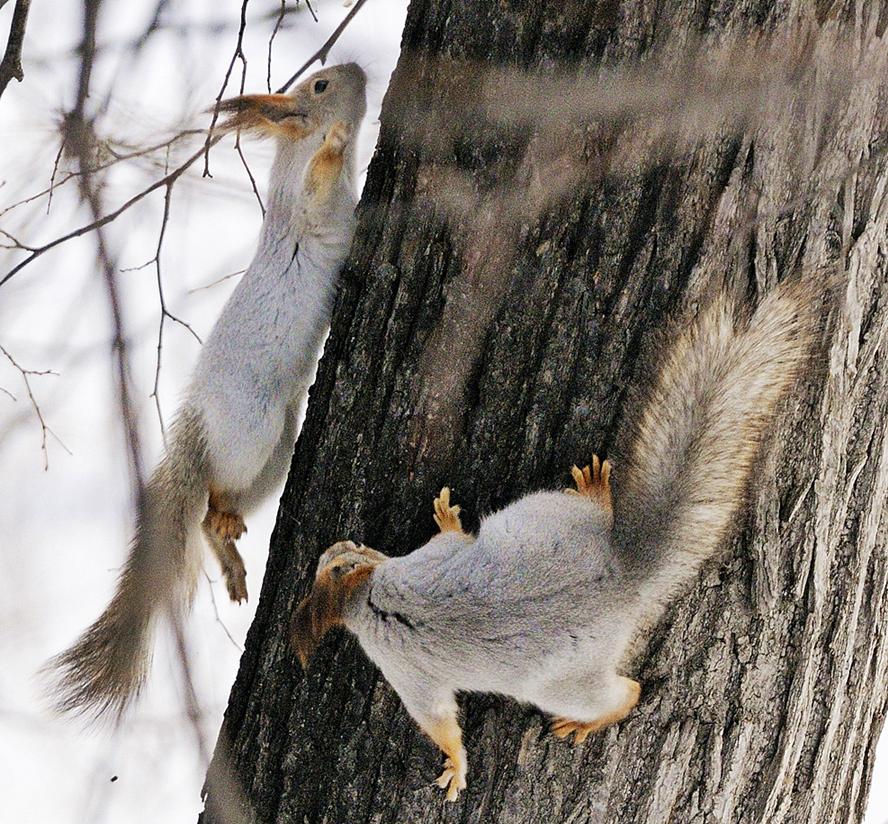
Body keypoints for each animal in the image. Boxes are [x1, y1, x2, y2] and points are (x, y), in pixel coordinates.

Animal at [47, 62, 368, 720]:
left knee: (216, 512)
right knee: (210, 502)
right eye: (321, 85)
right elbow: (322, 179)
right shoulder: (308, 205)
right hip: (251, 431)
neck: (291, 153)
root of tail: (195, 428)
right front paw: (337, 141)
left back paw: (229, 554)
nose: (361, 71)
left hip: (273, 452)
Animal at [290, 280, 812, 800]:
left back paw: (594, 716)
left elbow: (438, 720)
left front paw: (456, 765)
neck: (363, 593)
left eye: (341, 555)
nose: (350, 547)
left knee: (625, 694)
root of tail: (622, 579)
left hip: (564, 680)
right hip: (547, 515)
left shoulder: (405, 668)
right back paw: (597, 492)